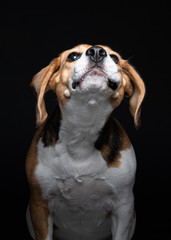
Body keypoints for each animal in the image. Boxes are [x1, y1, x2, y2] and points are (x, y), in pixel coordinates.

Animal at [26, 43, 145, 240]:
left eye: (115, 58)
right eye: (73, 56)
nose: (97, 52)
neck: (83, 131)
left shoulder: (124, 207)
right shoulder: (39, 206)